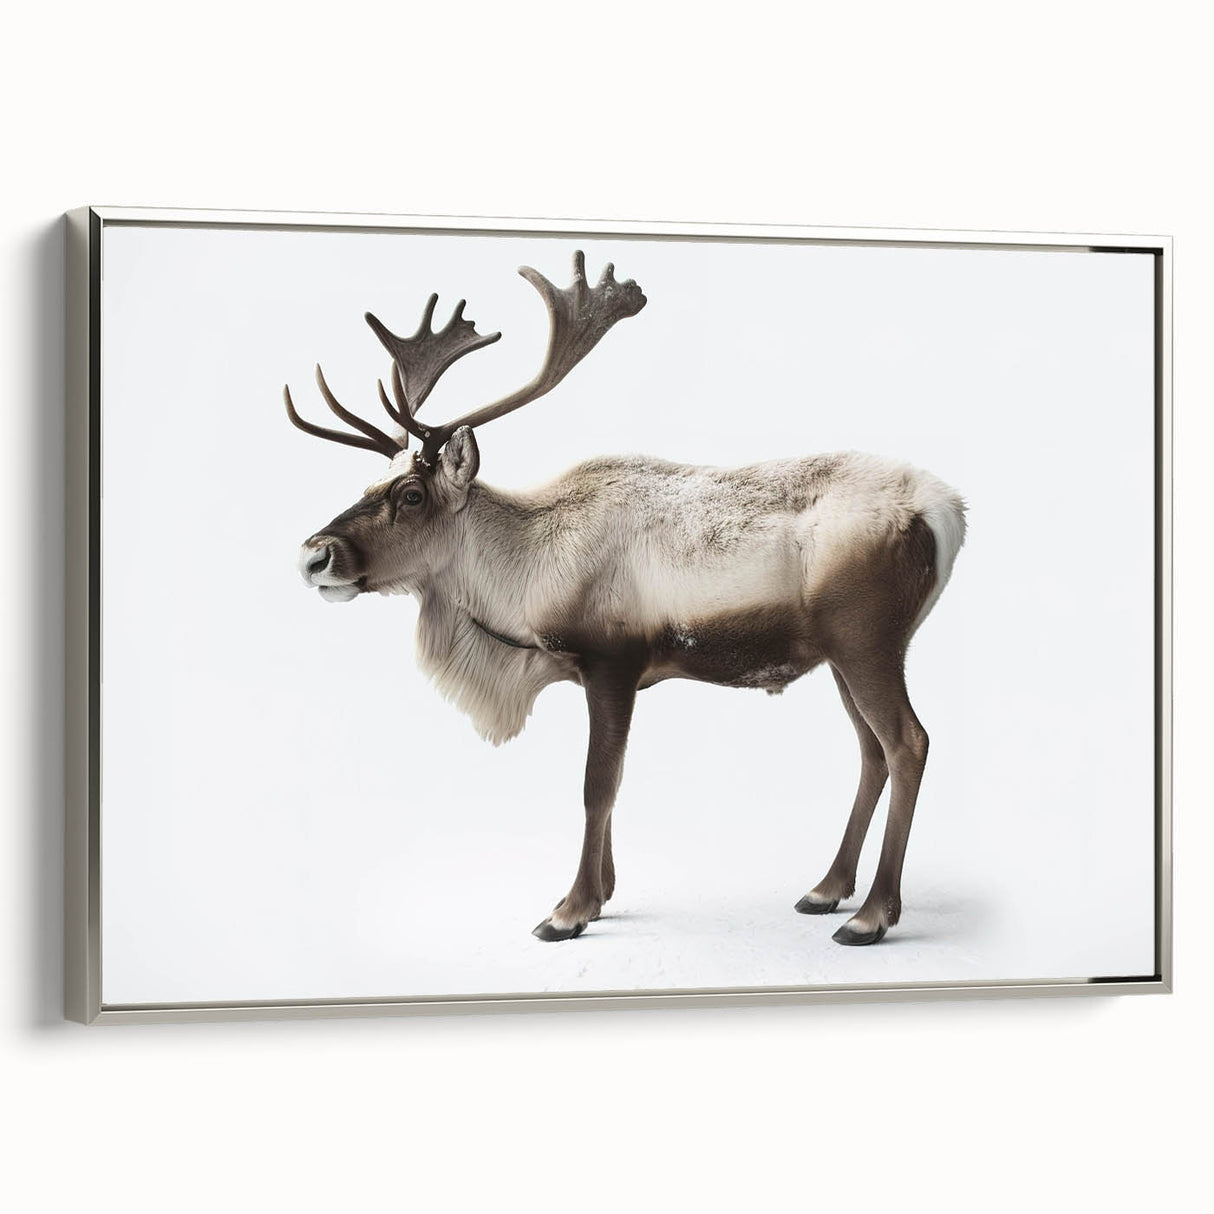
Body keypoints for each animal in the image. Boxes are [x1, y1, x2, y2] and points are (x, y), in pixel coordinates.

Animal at [285, 250, 966, 946]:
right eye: (369, 484)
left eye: (412, 494)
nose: (313, 555)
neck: (525, 576)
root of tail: (948, 512)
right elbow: (608, 786)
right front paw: (603, 893)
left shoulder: (611, 661)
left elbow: (597, 785)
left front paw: (569, 910)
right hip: (840, 654)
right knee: (871, 751)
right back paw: (826, 889)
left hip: (867, 640)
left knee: (907, 742)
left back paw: (871, 914)